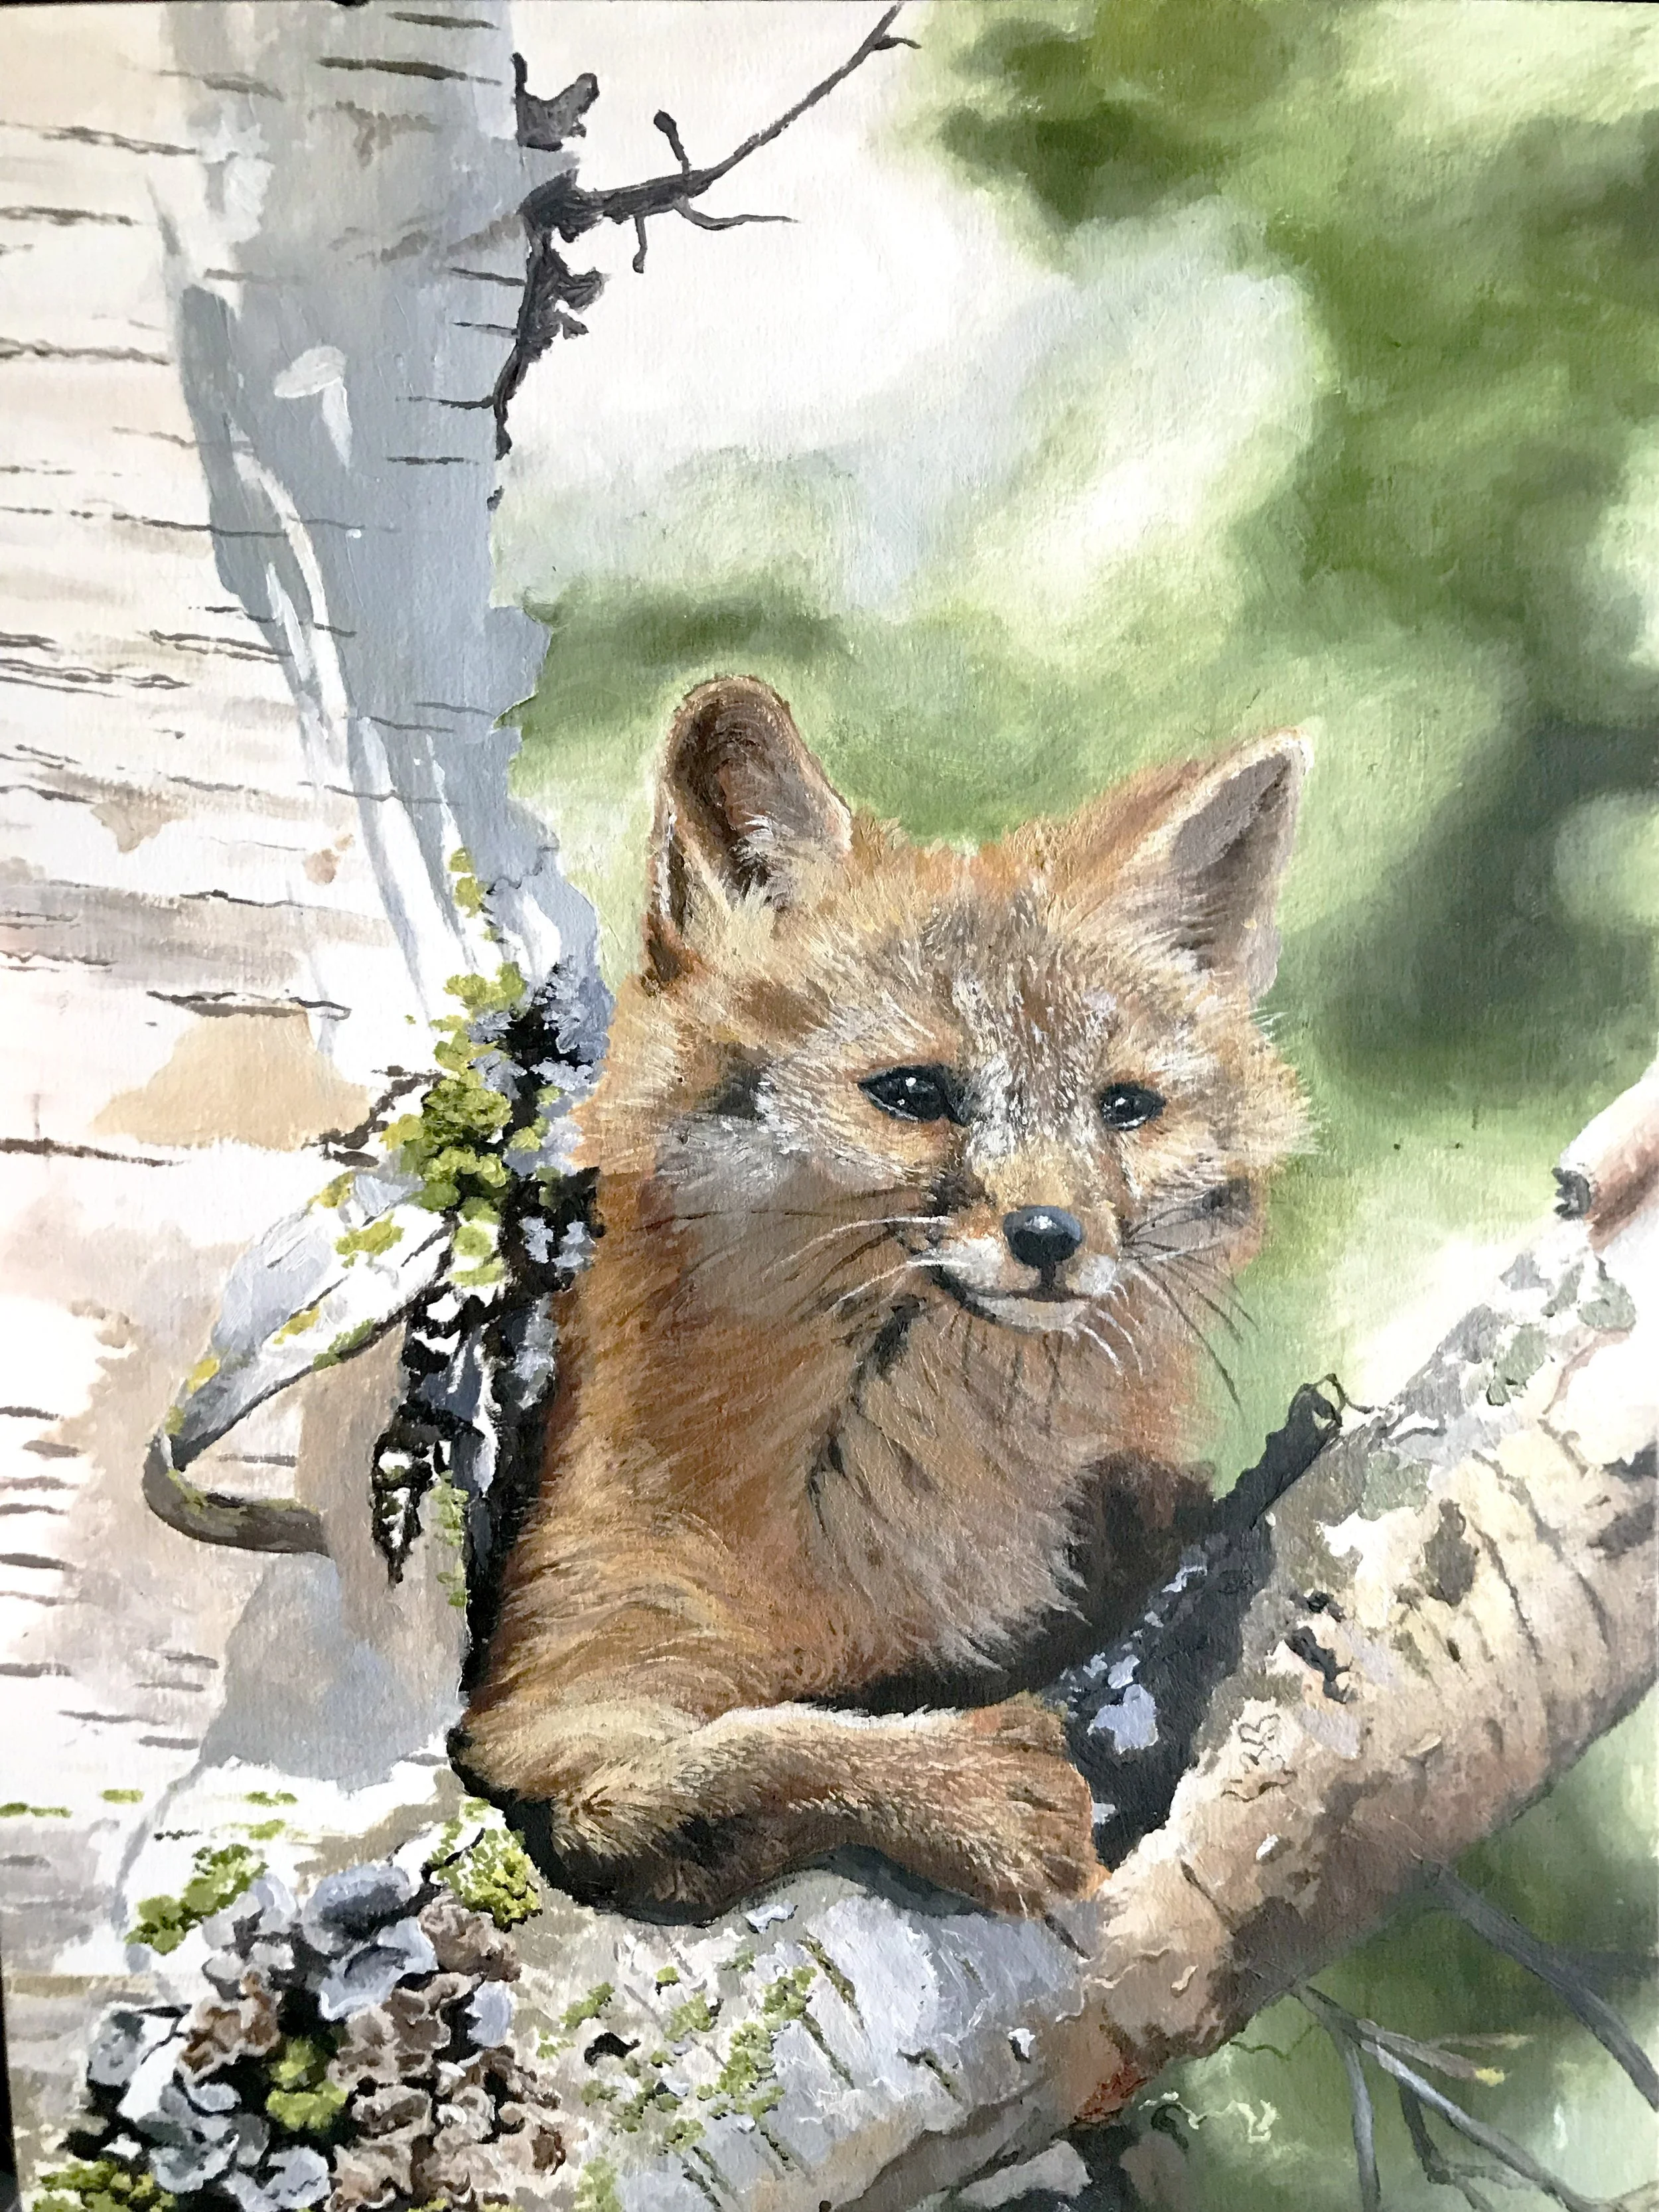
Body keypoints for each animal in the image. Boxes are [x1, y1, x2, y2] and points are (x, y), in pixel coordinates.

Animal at [460, 675, 1309, 1917]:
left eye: (1124, 1108)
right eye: (914, 1092)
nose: (1050, 1236)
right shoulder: (551, 1731)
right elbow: (756, 1745)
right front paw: (964, 1791)